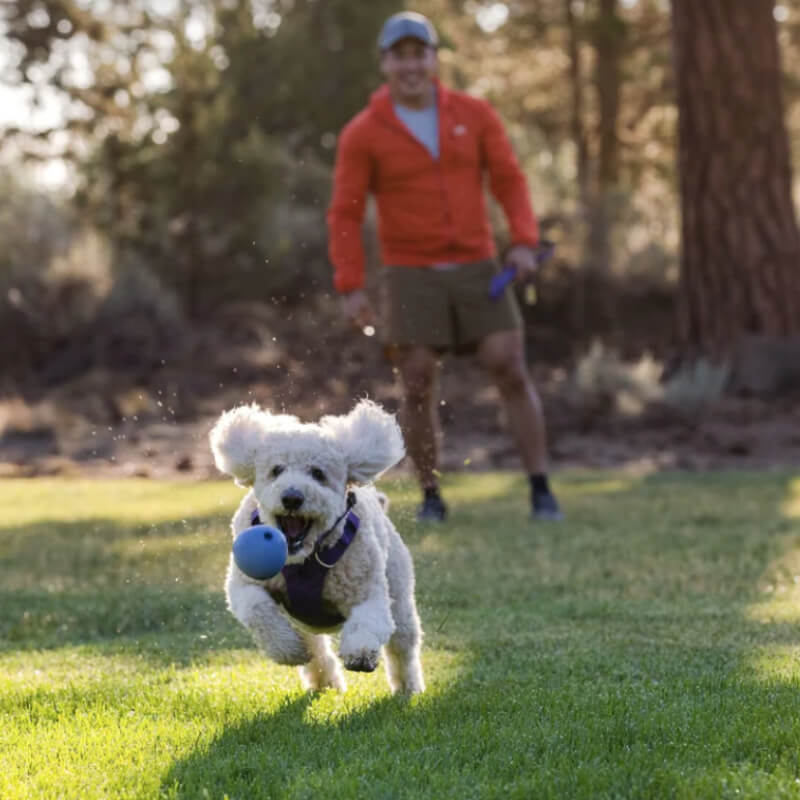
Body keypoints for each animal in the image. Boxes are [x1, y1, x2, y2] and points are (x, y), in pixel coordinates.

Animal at [211, 400, 424, 692]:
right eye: (276, 470)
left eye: (318, 474)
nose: (291, 497)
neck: (304, 560)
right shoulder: (244, 585)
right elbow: (257, 610)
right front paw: (287, 650)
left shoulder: (367, 590)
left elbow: (368, 620)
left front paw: (360, 654)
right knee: (316, 651)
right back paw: (324, 681)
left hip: (399, 592)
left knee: (403, 646)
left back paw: (407, 688)